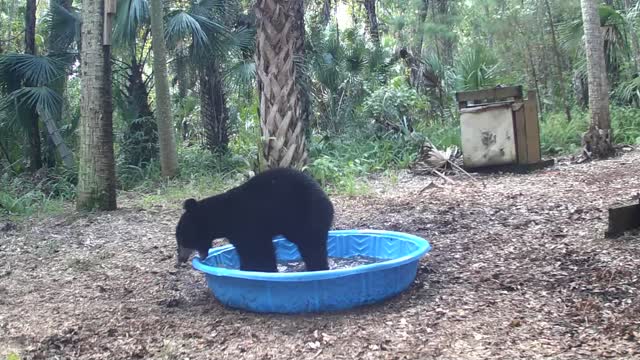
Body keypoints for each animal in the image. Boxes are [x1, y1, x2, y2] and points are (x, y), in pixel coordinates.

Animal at [175, 167, 336, 272]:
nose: (180, 259)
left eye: (182, 239)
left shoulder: (248, 224)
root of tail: (327, 199)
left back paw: (318, 267)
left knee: (311, 245)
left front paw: (262, 269)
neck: (221, 218)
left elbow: (257, 250)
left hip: (306, 216)